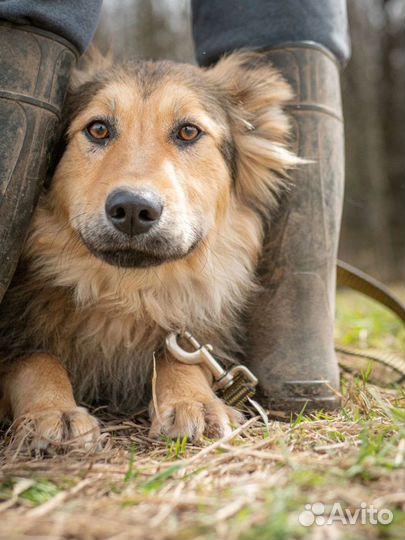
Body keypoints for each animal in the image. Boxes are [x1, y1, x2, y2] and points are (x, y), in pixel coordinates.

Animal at [0, 50, 296, 450]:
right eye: (98, 129)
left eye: (188, 131)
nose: (133, 209)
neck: (127, 292)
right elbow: (35, 359)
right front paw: (52, 412)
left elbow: (179, 357)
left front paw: (193, 402)